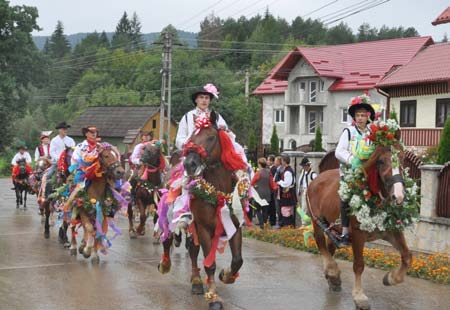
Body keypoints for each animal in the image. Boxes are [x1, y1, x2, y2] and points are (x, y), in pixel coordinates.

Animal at [157, 112, 244, 310]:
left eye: (211, 137)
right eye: (191, 139)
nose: (190, 164)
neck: (218, 192)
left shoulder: (234, 226)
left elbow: (237, 260)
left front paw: (226, 275)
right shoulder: (203, 228)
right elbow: (209, 264)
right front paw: (214, 298)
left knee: (193, 250)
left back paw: (196, 280)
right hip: (174, 218)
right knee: (170, 240)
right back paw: (167, 265)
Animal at [308, 143, 410, 310]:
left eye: (402, 158)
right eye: (381, 161)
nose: (399, 196)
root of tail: (317, 179)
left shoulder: (392, 232)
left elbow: (407, 256)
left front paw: (391, 278)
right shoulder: (358, 235)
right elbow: (359, 265)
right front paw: (359, 296)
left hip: (333, 228)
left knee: (330, 248)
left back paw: (333, 278)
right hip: (317, 223)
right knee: (321, 245)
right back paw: (332, 272)